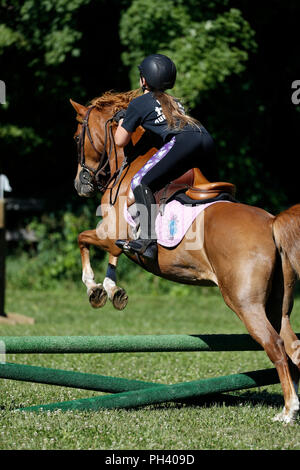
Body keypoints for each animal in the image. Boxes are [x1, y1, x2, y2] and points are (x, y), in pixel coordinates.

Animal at [69, 90, 300, 424]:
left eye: (77, 137)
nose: (81, 183)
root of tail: (271, 223)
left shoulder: (109, 234)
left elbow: (85, 241)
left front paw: (97, 288)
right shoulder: (114, 239)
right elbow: (108, 255)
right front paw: (112, 290)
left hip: (245, 303)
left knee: (276, 346)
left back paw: (288, 410)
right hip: (277, 306)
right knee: (293, 345)